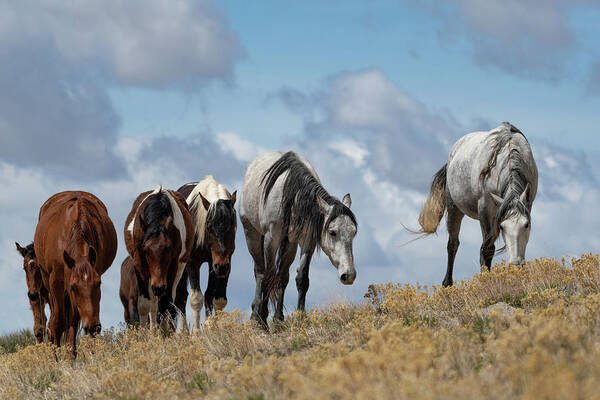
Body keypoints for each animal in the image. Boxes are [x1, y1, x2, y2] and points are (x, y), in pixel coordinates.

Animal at [33, 192, 118, 358]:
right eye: (73, 287)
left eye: (98, 283)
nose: (92, 327)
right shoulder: (56, 282)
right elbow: (57, 322)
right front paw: (56, 358)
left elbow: (72, 321)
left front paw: (71, 356)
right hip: (48, 284)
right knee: (55, 319)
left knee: (71, 319)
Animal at [124, 186, 192, 330]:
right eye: (146, 251)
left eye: (169, 251)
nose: (159, 287)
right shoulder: (139, 263)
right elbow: (144, 305)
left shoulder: (174, 264)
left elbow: (166, 304)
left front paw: (164, 332)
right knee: (154, 304)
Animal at [173, 175, 237, 332]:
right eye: (209, 226)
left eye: (232, 224)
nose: (221, 266)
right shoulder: (192, 263)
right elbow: (196, 298)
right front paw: (196, 333)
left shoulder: (221, 263)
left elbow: (217, 298)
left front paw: (213, 327)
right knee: (181, 296)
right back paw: (184, 332)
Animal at [239, 152, 358, 326]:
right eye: (332, 232)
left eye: (354, 232)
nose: (349, 275)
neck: (292, 196)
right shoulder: (271, 239)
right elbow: (268, 277)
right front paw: (263, 321)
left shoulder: (306, 240)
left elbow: (301, 278)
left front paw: (298, 318)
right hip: (252, 234)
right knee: (260, 272)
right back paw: (256, 316)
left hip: (290, 244)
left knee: (282, 275)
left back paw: (277, 318)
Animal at [418, 122, 540, 288]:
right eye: (502, 227)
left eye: (526, 225)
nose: (516, 264)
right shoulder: (485, 210)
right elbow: (487, 250)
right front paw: (486, 283)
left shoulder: (527, 205)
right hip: (454, 209)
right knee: (452, 244)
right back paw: (447, 283)